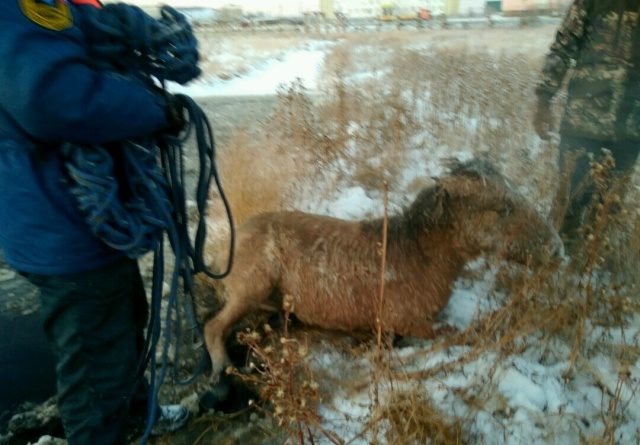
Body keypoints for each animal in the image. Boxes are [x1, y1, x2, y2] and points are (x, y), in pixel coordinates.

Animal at [200, 160, 560, 378]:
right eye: (502, 207)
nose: (557, 248)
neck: (419, 256)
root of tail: (225, 250)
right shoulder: (407, 322)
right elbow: (457, 333)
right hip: (252, 286)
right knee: (213, 326)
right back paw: (223, 369)